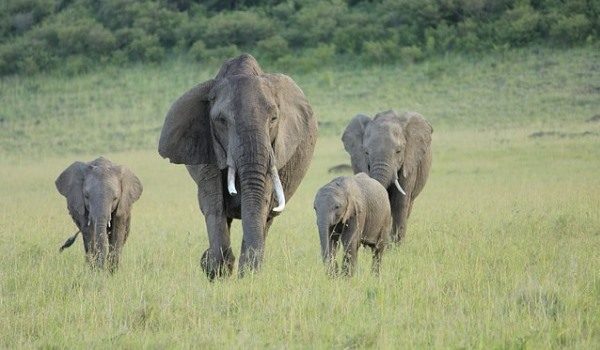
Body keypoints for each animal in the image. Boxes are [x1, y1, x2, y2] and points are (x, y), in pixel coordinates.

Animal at [159, 54, 318, 278]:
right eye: (221, 120)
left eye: (274, 119)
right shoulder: (208, 144)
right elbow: (214, 204)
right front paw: (216, 268)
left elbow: (260, 202)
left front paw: (247, 275)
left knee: (267, 220)